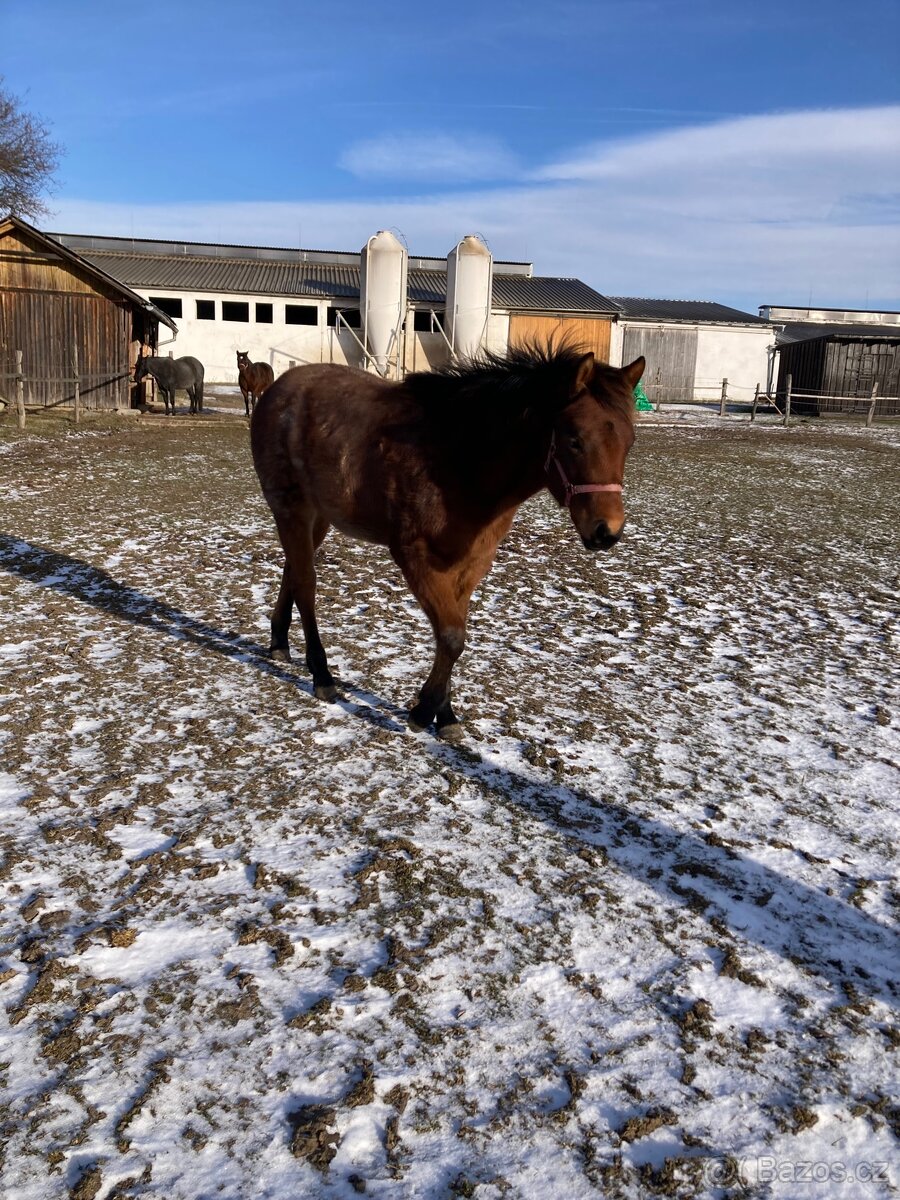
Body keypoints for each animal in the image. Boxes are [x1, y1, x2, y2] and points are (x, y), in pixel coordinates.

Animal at [250, 343, 642, 740]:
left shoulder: (471, 562)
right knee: (306, 586)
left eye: (629, 442)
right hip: (291, 508)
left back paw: (279, 642)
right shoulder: (416, 558)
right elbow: (452, 636)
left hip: (319, 517)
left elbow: (450, 635)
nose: (606, 531)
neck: (458, 460)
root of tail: (280, 387)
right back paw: (322, 676)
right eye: (574, 440)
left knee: (292, 571)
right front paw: (424, 710)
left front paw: (446, 714)